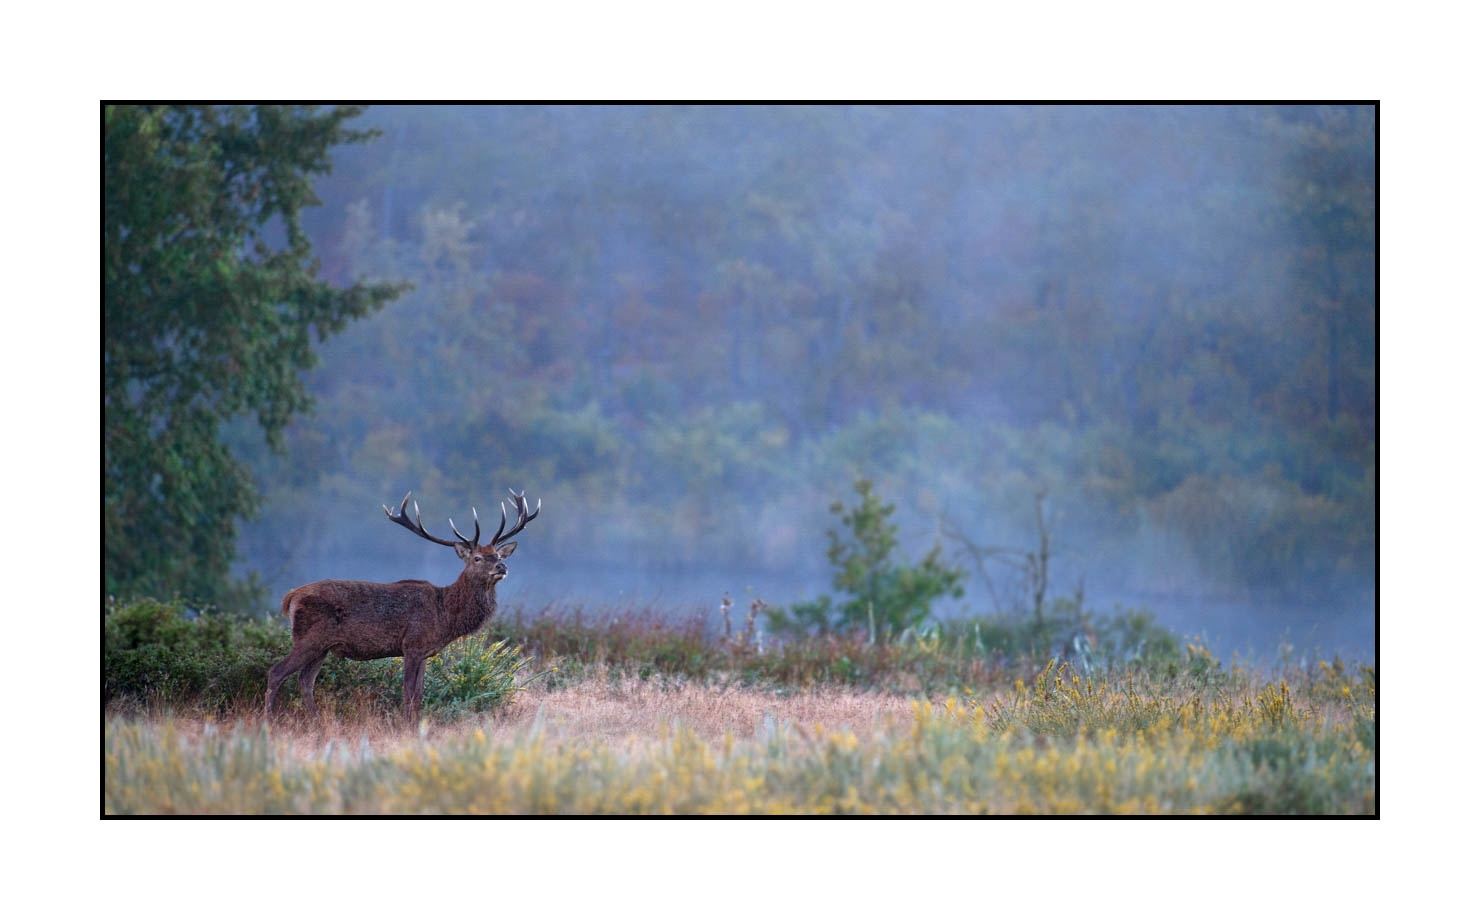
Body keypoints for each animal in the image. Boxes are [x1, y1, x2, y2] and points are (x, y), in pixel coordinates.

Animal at [265, 489, 539, 725]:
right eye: (478, 558)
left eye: (499, 556)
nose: (502, 567)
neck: (445, 615)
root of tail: (289, 598)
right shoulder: (412, 645)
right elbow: (408, 693)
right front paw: (406, 727)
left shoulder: (426, 652)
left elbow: (419, 695)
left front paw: (416, 726)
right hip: (309, 638)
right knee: (277, 672)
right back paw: (270, 722)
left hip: (322, 646)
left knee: (305, 680)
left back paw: (316, 721)